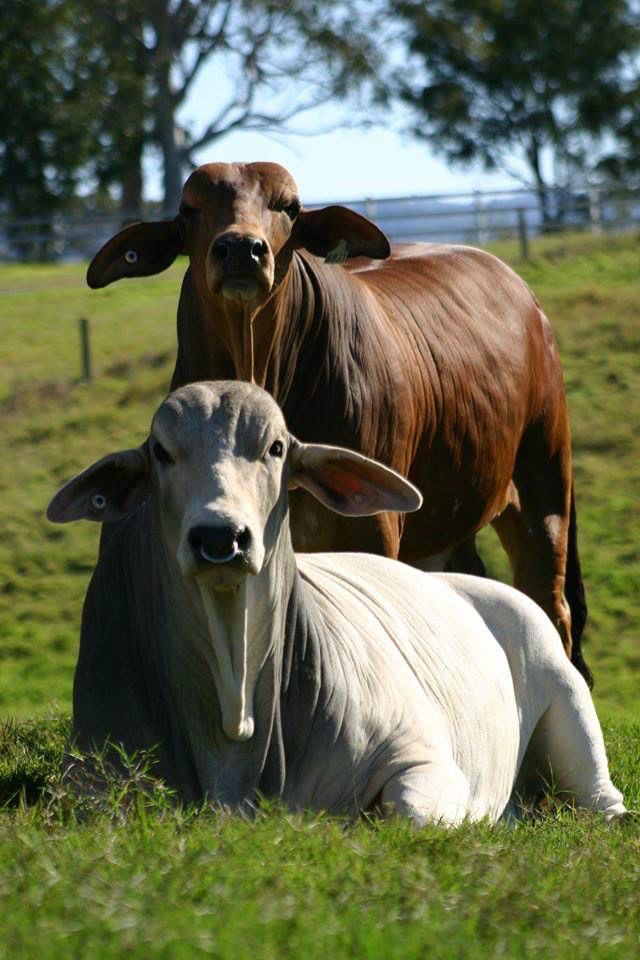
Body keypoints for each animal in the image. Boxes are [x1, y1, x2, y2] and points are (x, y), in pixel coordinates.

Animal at [47, 381, 623, 823]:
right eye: (162, 453)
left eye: (276, 448)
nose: (219, 537)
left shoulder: (424, 759)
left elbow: (408, 815)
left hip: (567, 695)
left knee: (600, 800)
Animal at [87, 161, 590, 685]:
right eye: (189, 209)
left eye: (289, 207)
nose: (241, 249)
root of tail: (525, 297)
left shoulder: (370, 529)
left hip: (544, 485)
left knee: (550, 606)